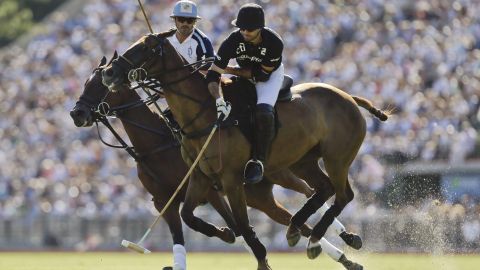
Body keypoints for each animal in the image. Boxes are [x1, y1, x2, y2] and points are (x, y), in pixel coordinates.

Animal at [102, 33, 386, 270]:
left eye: (146, 47)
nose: (109, 72)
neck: (203, 114)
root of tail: (348, 96)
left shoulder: (231, 179)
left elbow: (241, 223)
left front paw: (261, 258)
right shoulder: (199, 178)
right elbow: (189, 216)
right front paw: (231, 238)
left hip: (336, 157)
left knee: (343, 195)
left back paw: (317, 240)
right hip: (302, 162)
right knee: (322, 190)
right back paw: (300, 230)